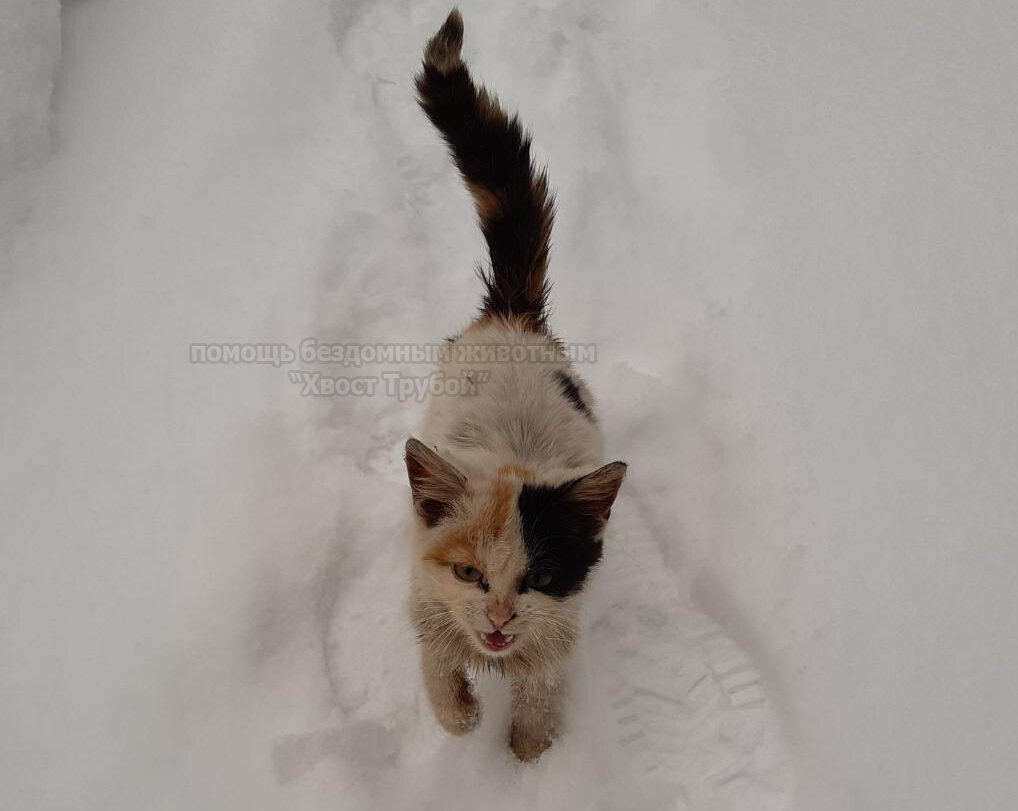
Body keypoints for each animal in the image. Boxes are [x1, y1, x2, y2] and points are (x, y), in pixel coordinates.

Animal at [405, 9, 627, 761]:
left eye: (538, 580)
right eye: (470, 574)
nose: (500, 620)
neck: (511, 459)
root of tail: (512, 314)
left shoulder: (557, 626)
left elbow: (539, 692)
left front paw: (529, 752)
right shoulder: (425, 590)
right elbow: (437, 671)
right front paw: (462, 717)